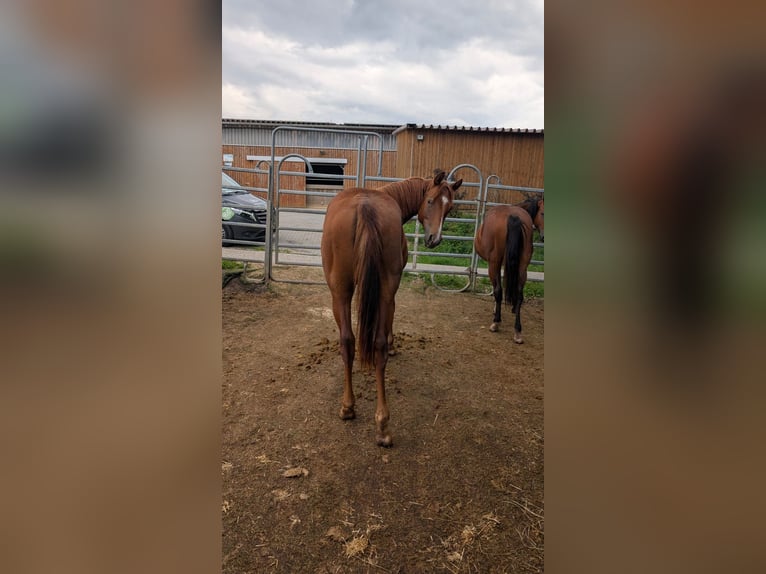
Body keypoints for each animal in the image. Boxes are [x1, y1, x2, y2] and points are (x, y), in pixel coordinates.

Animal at [321, 170, 463, 446]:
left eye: (449, 207)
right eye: (430, 201)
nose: (434, 239)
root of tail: (364, 207)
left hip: (342, 292)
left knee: (350, 341)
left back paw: (355, 410)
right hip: (369, 289)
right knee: (365, 343)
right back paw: (374, 420)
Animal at [474, 196, 544, 341]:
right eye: (543, 213)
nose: (544, 237)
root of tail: (513, 216)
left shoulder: (495, 264)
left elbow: (497, 289)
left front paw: (496, 311)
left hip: (493, 264)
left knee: (498, 291)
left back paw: (496, 323)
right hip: (523, 266)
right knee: (520, 294)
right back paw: (517, 330)